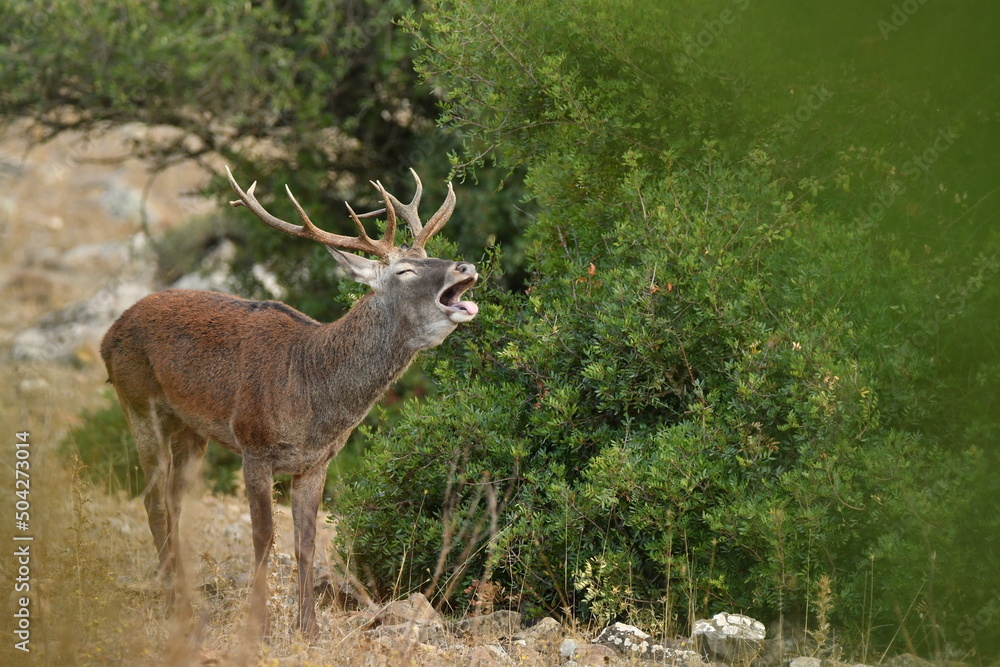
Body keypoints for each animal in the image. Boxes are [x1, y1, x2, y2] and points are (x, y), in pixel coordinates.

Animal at [100, 166, 479, 638]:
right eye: (406, 271)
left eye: (431, 255)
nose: (466, 265)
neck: (310, 391)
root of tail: (107, 335)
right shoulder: (254, 444)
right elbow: (263, 539)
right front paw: (258, 626)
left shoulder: (316, 462)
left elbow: (307, 544)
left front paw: (308, 628)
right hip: (137, 400)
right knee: (152, 499)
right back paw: (174, 604)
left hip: (192, 429)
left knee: (173, 500)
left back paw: (185, 597)